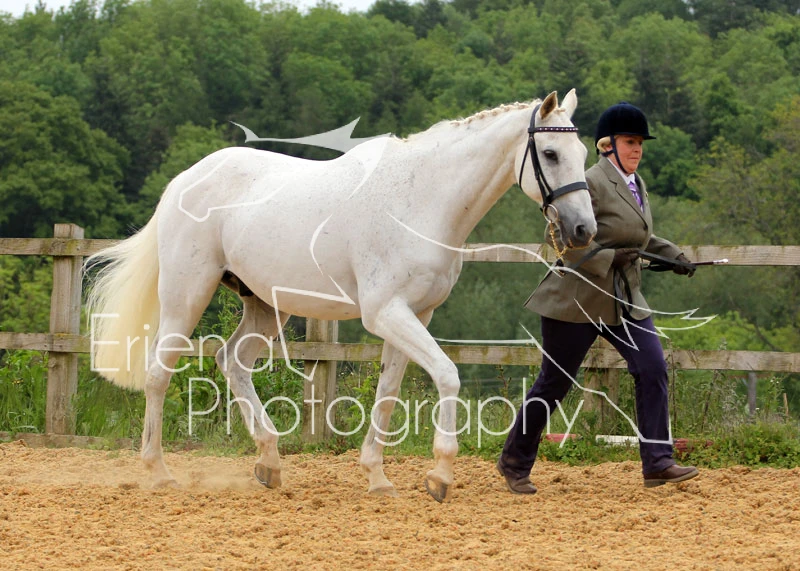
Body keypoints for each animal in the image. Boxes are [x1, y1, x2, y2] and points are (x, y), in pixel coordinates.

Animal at [86, 89, 596, 502]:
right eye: (550, 153)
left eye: (581, 151)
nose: (582, 230)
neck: (423, 202)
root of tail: (184, 180)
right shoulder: (386, 312)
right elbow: (447, 375)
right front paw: (440, 475)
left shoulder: (418, 315)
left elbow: (388, 392)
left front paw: (378, 478)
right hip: (187, 293)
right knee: (159, 373)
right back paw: (159, 472)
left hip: (263, 306)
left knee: (232, 361)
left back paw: (269, 462)